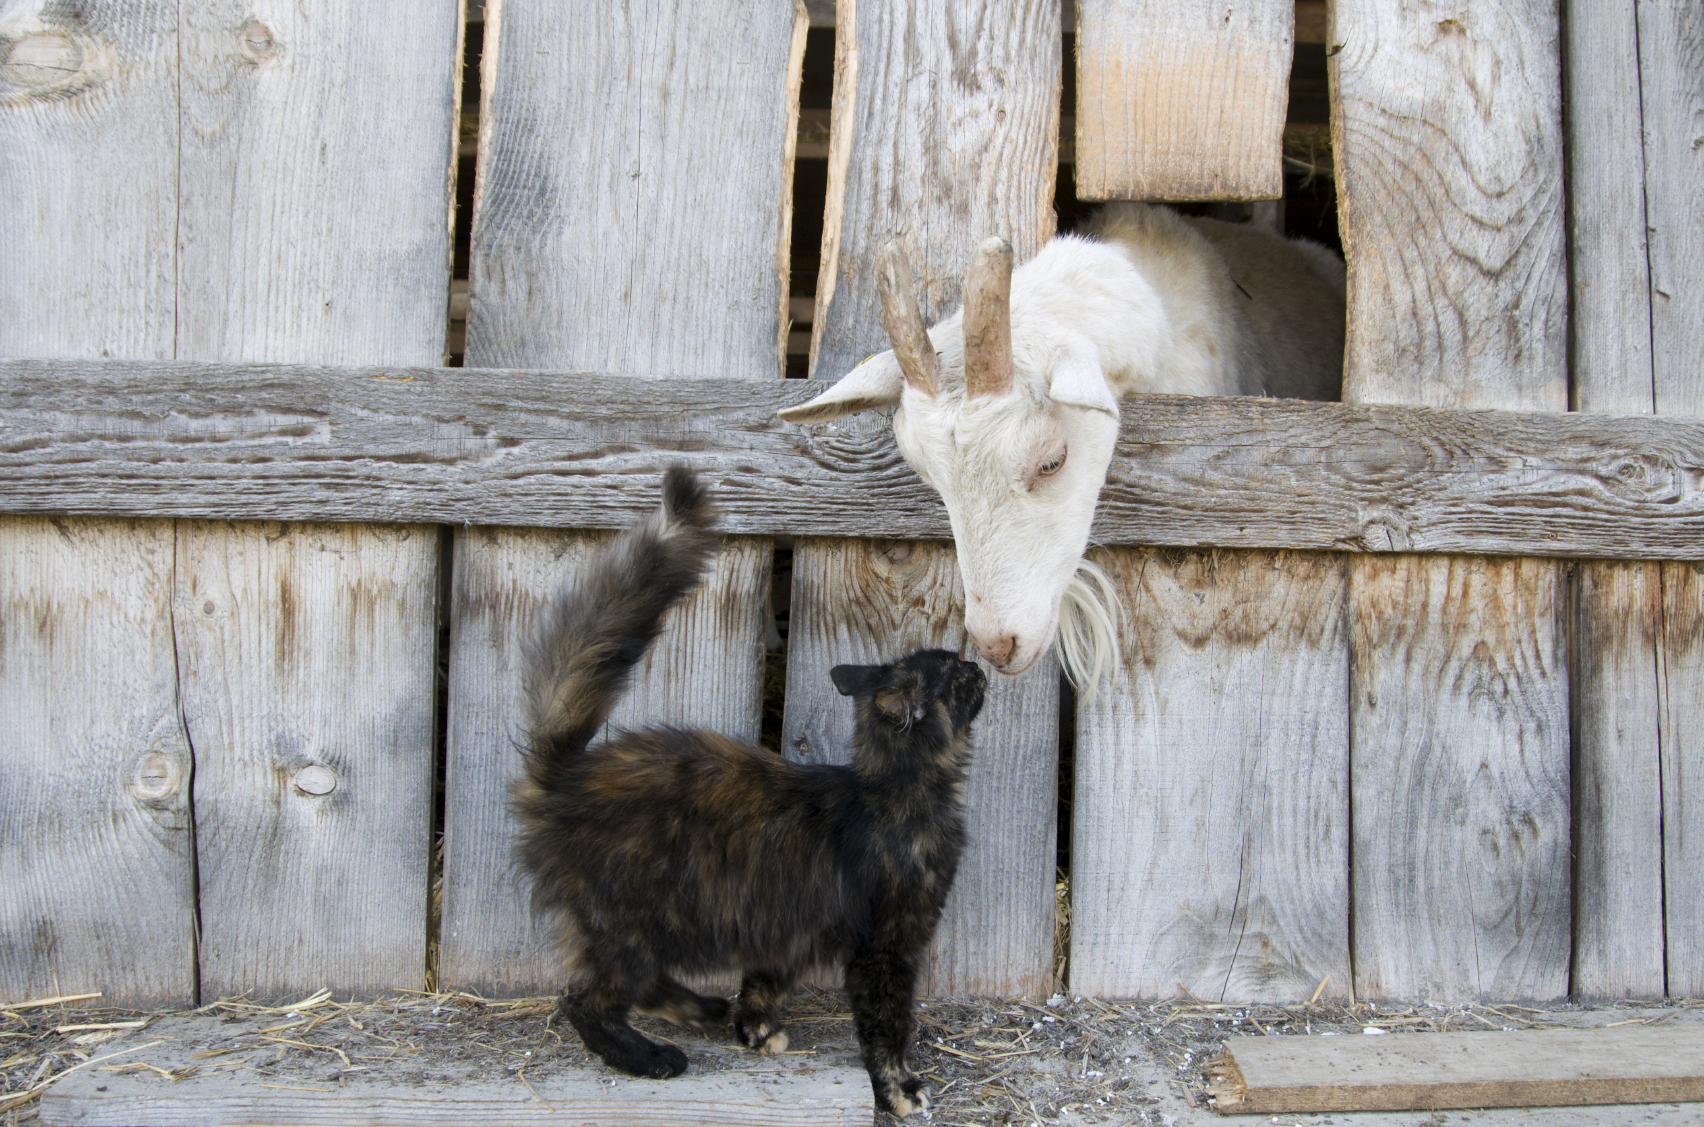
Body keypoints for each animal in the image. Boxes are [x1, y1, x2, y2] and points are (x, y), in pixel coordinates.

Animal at [511, 460, 988, 1111]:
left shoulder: (785, 923)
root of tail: (565, 774)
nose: (981, 667)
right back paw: (651, 1056)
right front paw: (897, 1088)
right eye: (957, 677)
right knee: (584, 1000)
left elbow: (763, 979)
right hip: (637, 921)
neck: (897, 791)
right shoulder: (886, 943)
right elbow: (887, 1023)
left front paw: (755, 1029)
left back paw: (703, 1009)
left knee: (637, 985)